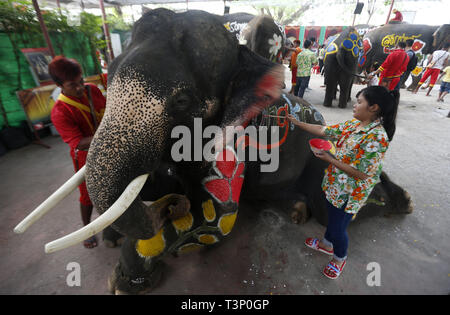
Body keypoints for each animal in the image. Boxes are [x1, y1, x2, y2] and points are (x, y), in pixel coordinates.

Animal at [14, 9, 414, 296]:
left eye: (182, 100)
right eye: (106, 80)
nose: (171, 204)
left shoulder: (237, 136)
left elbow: (215, 221)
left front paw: (125, 280)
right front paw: (122, 232)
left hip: (328, 160)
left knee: (333, 207)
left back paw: (401, 203)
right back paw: (297, 211)